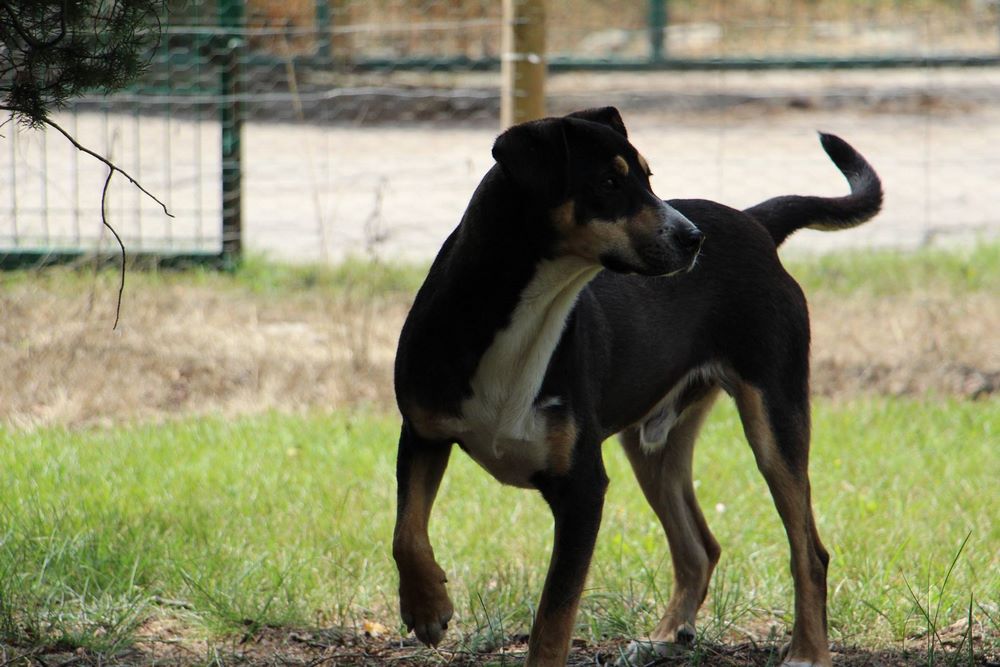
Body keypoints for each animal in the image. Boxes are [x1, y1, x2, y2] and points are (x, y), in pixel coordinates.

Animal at [392, 107, 882, 666]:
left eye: (648, 177)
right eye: (608, 182)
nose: (693, 238)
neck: (520, 318)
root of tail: (753, 221)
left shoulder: (582, 488)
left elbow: (553, 619)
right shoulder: (423, 433)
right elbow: (406, 530)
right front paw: (427, 606)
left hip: (774, 419)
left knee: (809, 552)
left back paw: (807, 651)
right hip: (654, 444)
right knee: (700, 548)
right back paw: (665, 635)